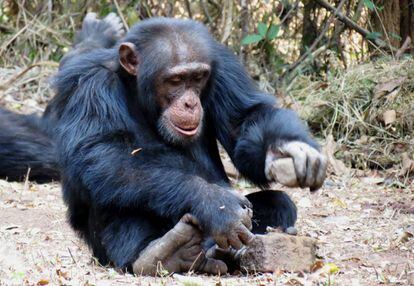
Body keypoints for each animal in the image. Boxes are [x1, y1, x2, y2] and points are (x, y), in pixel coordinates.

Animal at [0, 13, 326, 274]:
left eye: (198, 77)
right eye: (175, 80)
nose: (190, 102)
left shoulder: (223, 69)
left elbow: (244, 119)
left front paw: (290, 151)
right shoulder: (89, 85)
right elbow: (101, 151)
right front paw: (214, 204)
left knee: (279, 203)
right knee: (117, 186)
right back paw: (164, 253)